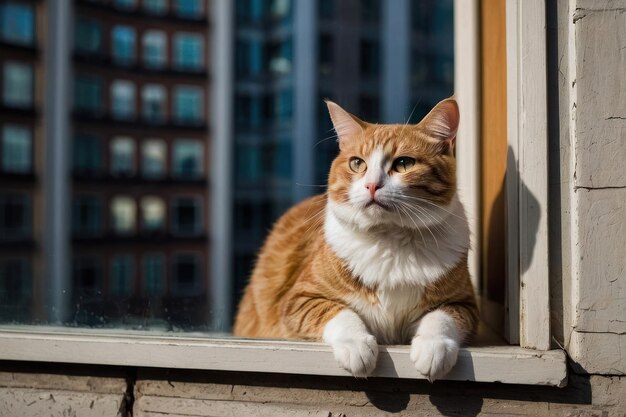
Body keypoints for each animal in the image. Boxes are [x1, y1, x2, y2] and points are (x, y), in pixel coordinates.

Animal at [234, 97, 478, 380]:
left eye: (404, 164)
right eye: (357, 163)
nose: (371, 185)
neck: (390, 242)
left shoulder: (465, 305)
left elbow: (441, 317)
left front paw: (434, 347)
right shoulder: (299, 300)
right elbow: (340, 312)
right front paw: (356, 346)